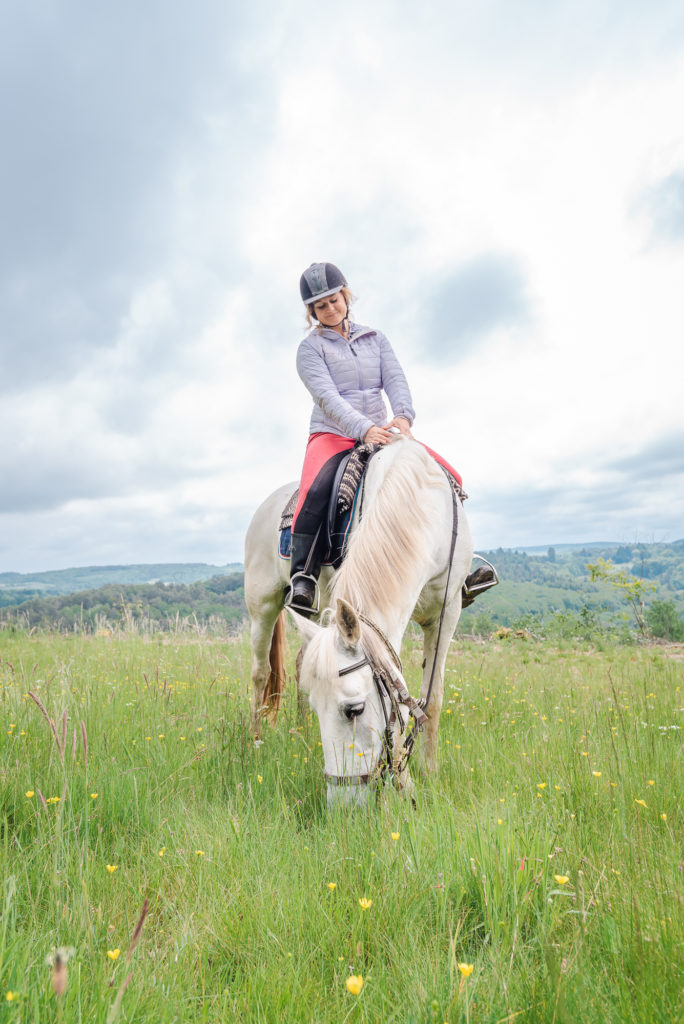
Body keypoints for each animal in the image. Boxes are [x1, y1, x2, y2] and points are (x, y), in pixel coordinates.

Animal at [242, 436, 473, 802]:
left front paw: (429, 771)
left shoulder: (447, 612)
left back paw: (302, 733)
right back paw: (256, 740)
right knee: (261, 673)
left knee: (300, 662)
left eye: (355, 709)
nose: (343, 800)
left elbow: (432, 697)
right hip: (262, 605)